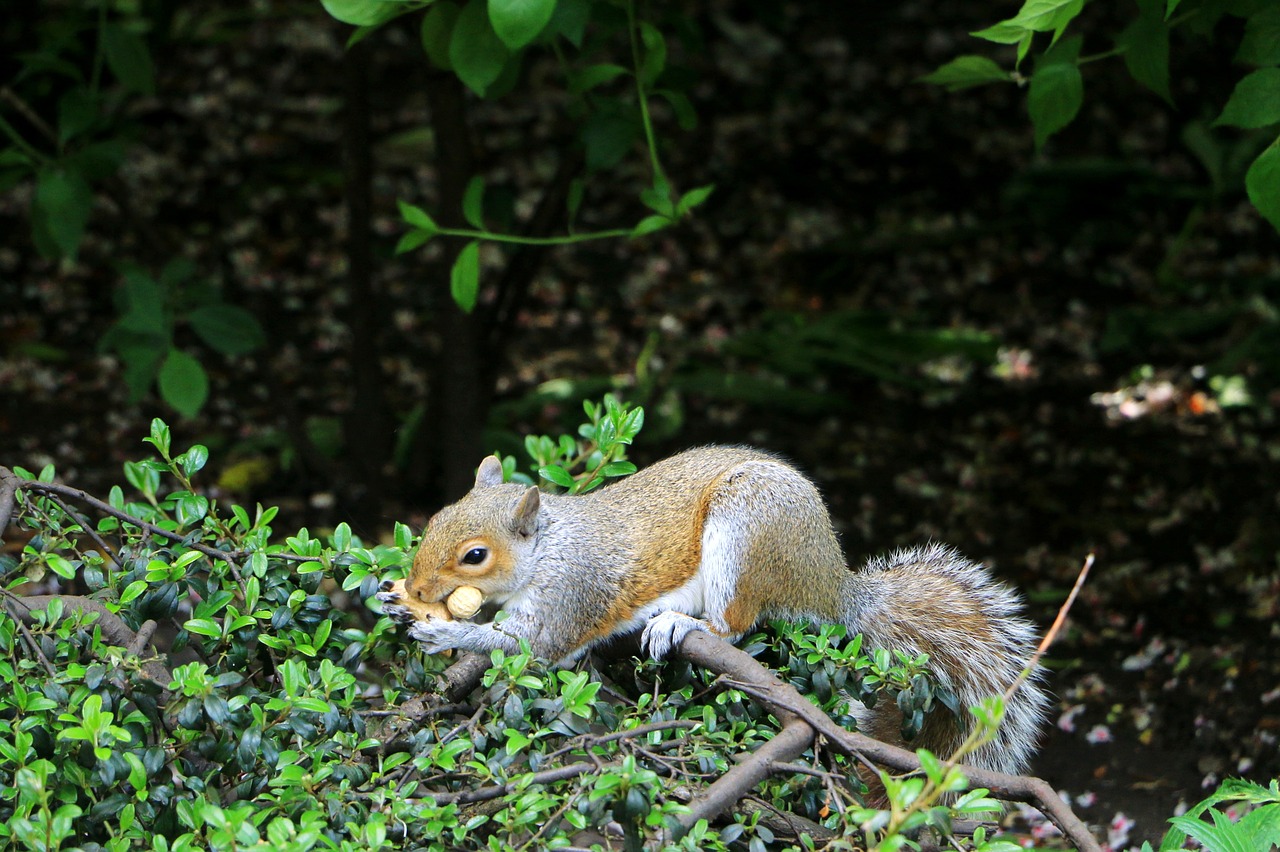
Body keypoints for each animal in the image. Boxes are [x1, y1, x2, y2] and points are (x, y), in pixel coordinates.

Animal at [373, 445, 1044, 777]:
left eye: (475, 555)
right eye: (434, 517)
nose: (420, 587)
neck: (548, 548)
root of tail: (832, 586)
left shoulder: (572, 592)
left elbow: (531, 649)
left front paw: (450, 635)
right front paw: (394, 599)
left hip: (746, 530)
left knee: (737, 623)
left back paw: (685, 623)